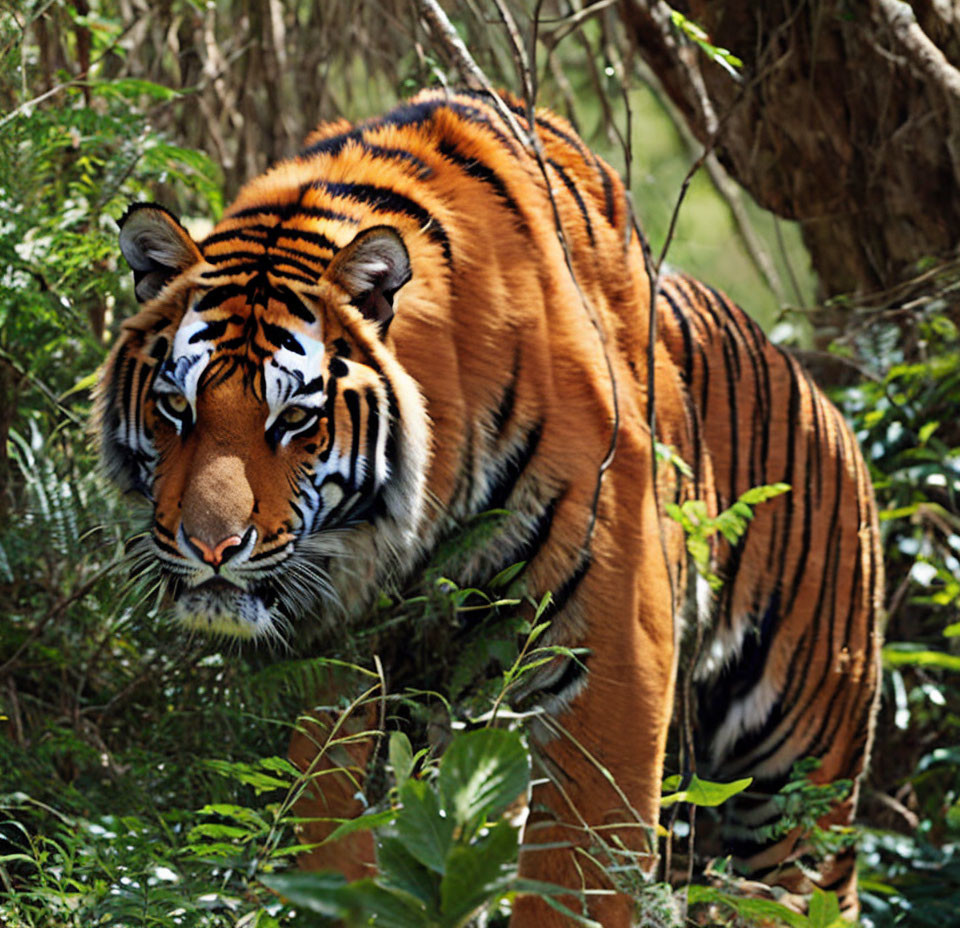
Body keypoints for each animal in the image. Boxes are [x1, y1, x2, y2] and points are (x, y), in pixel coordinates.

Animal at [94, 85, 880, 920]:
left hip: (798, 777)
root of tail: (829, 406)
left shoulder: (616, 643)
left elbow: (575, 877)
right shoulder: (344, 659)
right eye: (176, 408)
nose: (211, 548)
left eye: (295, 420)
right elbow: (330, 824)